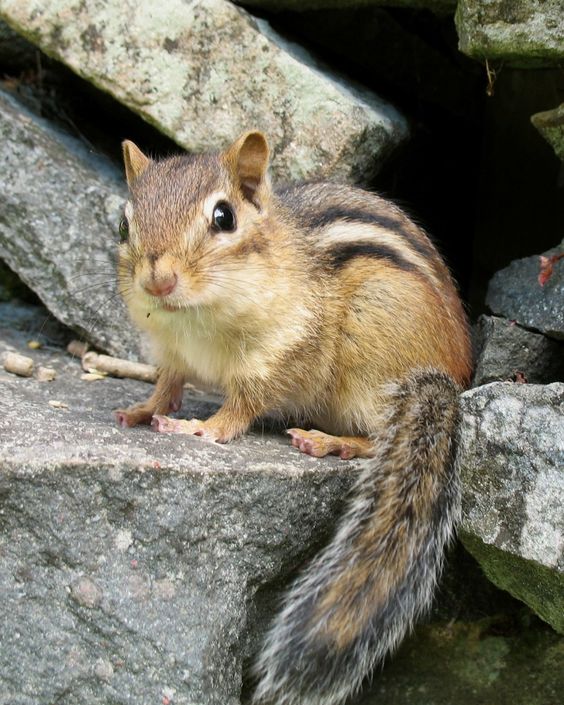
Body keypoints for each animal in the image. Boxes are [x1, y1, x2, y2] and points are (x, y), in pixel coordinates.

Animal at [114, 131, 472, 705]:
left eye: (224, 217)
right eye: (124, 224)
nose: (158, 281)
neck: (198, 322)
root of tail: (449, 381)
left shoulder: (283, 351)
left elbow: (243, 404)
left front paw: (202, 427)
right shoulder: (171, 351)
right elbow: (168, 382)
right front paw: (143, 408)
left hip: (372, 371)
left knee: (378, 437)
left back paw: (330, 442)